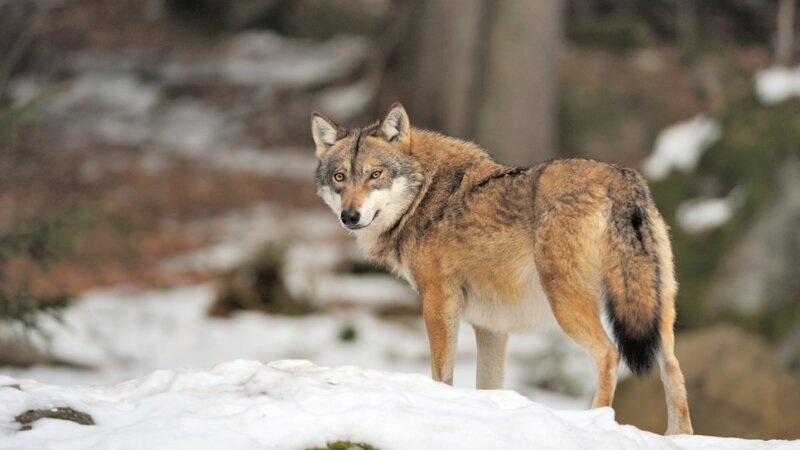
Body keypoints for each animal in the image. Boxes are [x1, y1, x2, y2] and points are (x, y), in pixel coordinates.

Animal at [311, 103, 693, 435]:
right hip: (656, 311)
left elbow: (441, 375)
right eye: (340, 177)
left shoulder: (438, 304)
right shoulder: (491, 327)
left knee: (609, 354)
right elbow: (488, 386)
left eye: (375, 174)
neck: (424, 196)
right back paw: (678, 437)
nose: (350, 216)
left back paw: (595, 421)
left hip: (568, 306)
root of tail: (618, 177)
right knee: (673, 367)